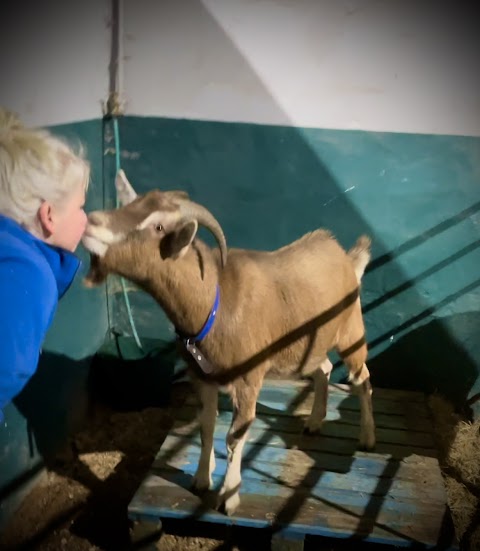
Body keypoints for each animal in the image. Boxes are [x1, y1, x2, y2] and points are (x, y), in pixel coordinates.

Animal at [81, 170, 376, 516]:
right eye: (130, 205)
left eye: (158, 226)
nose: (91, 222)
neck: (214, 302)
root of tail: (346, 257)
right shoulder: (202, 377)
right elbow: (206, 426)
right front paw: (201, 480)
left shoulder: (248, 381)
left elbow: (235, 437)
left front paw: (229, 498)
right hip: (308, 346)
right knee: (324, 368)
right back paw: (315, 422)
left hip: (352, 333)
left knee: (362, 378)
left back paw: (367, 438)